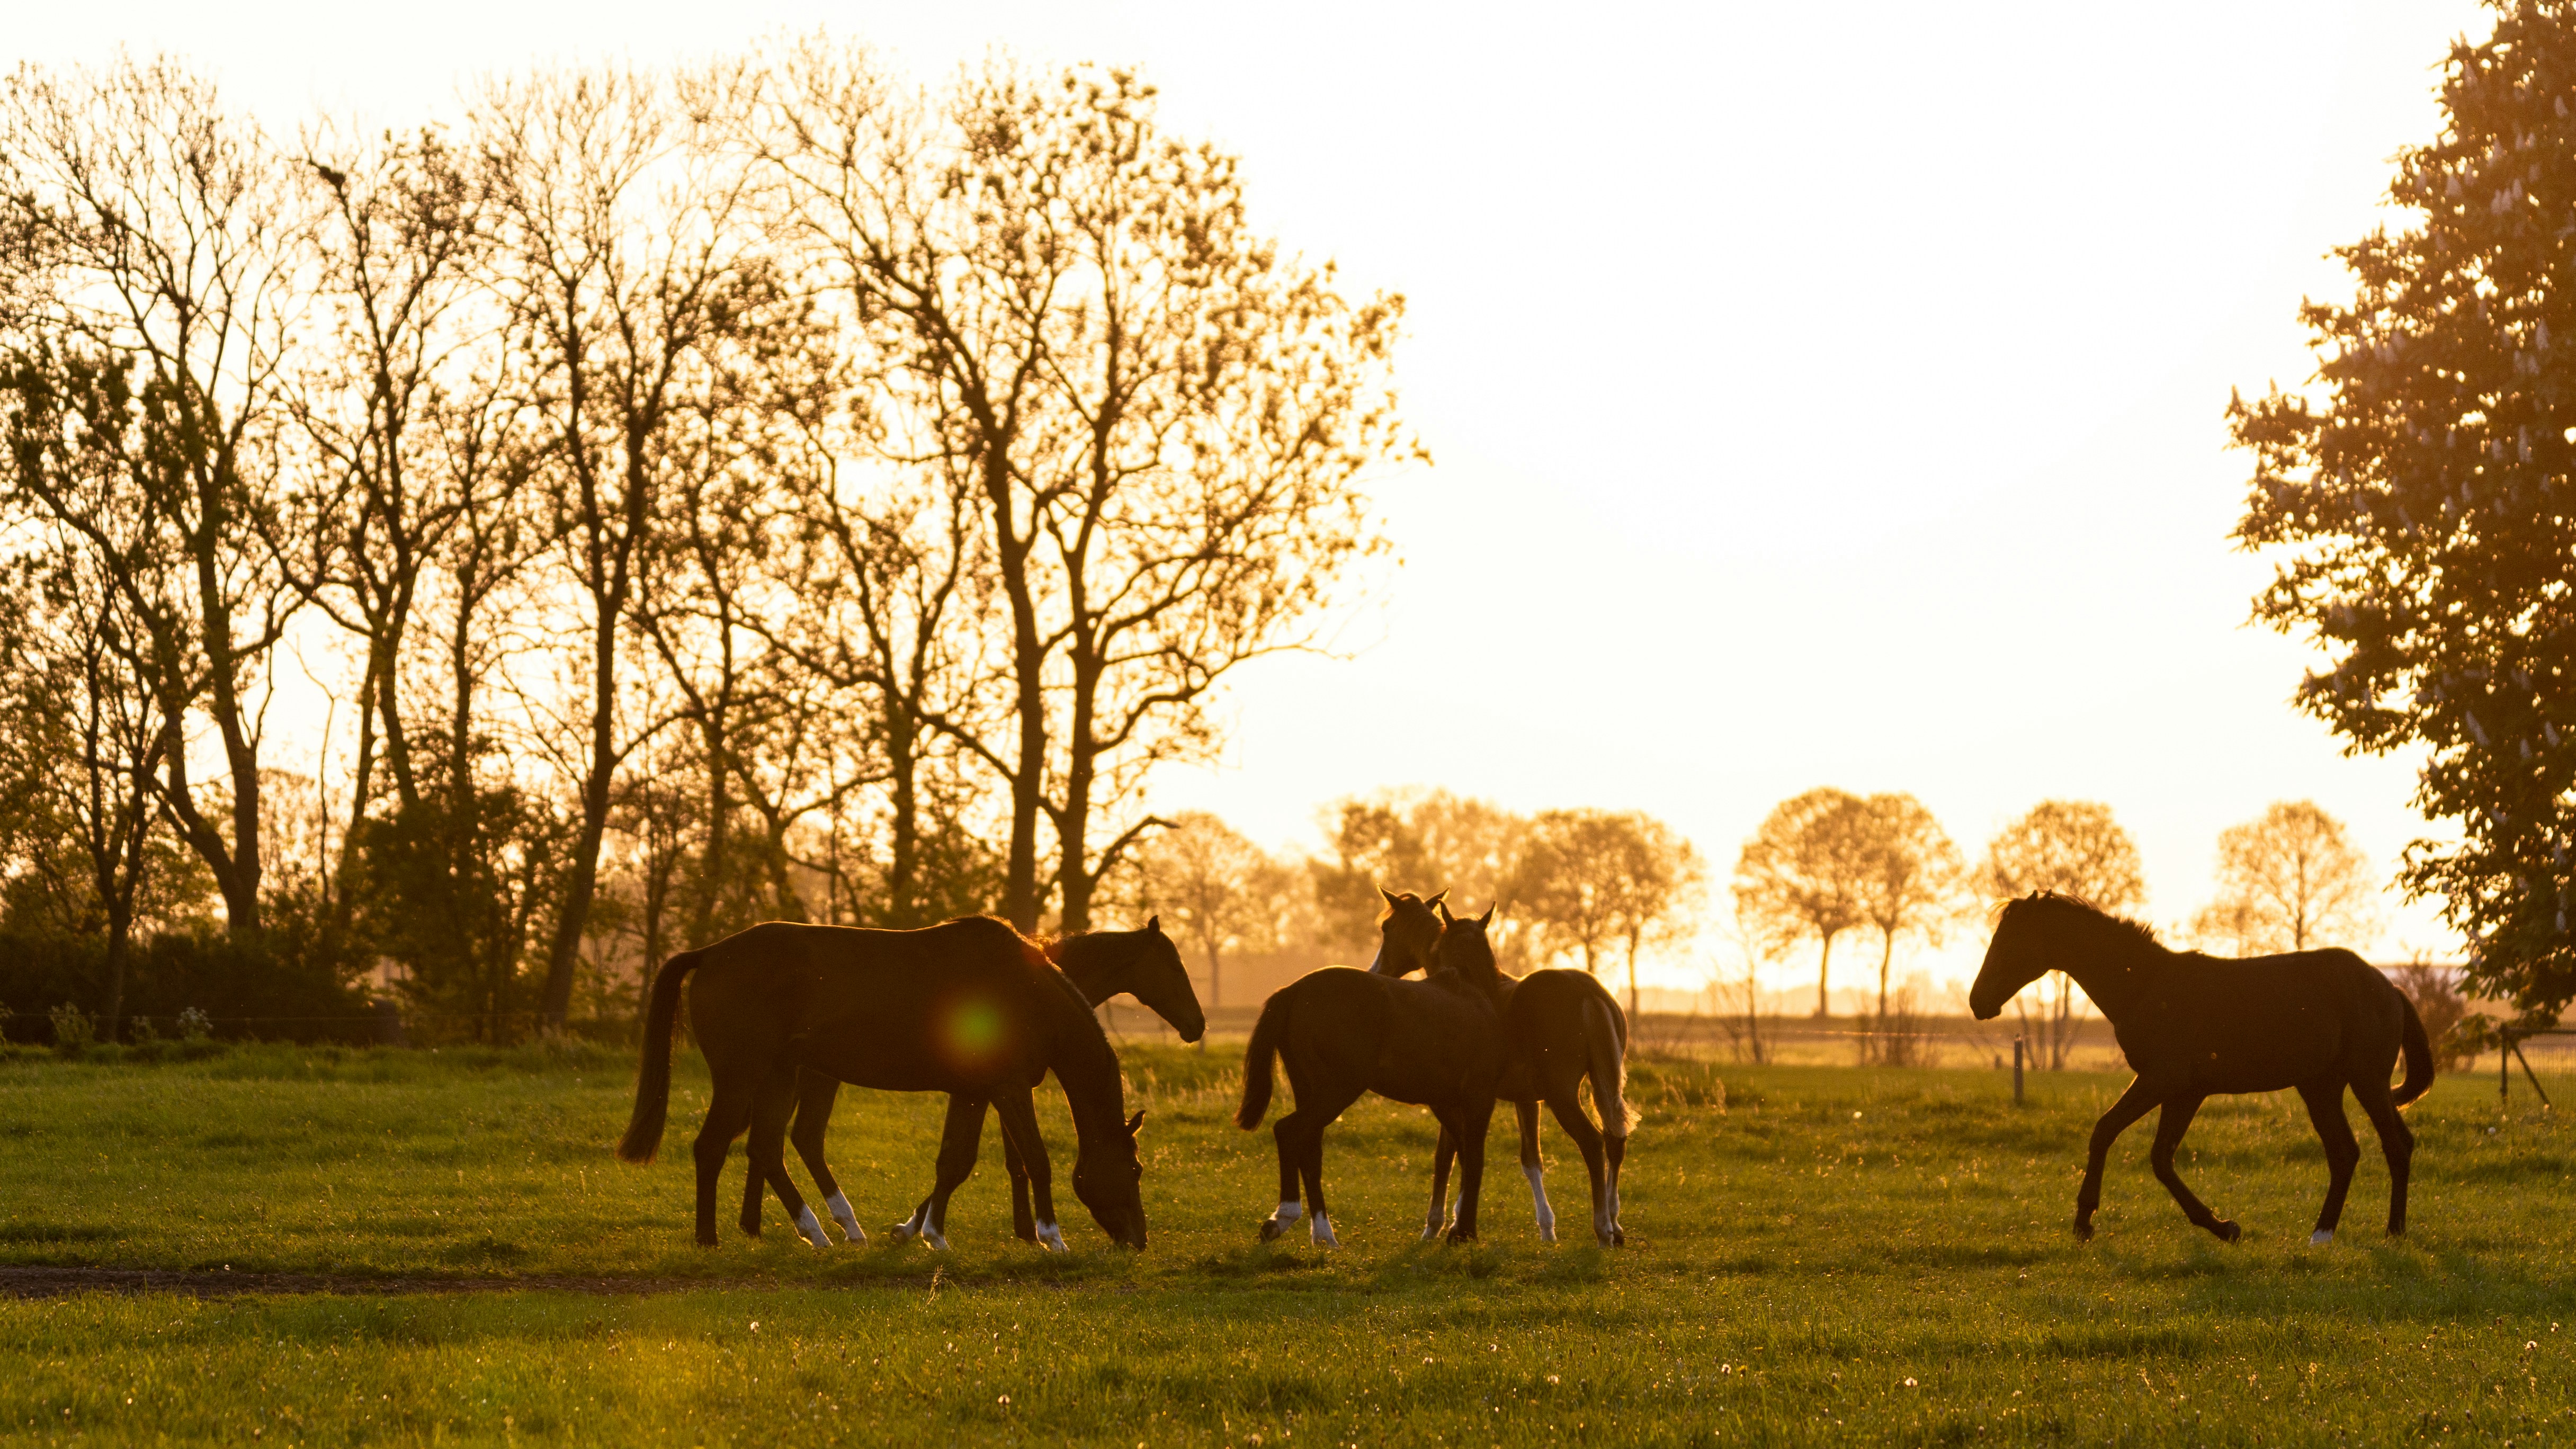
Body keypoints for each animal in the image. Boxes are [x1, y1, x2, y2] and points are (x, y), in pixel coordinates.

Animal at [617, 916, 1148, 1251]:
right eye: (1136, 1170)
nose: (1140, 1240)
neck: (1024, 990)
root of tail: (711, 953)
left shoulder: (974, 1093)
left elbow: (954, 1163)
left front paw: (931, 1235)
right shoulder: (1009, 1089)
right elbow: (1037, 1160)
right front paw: (1052, 1237)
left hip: (779, 1077)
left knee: (766, 1149)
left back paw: (820, 1232)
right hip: (740, 1078)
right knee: (712, 1147)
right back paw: (710, 1238)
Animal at [1235, 888, 1508, 1246]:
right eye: (1385, 928)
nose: (1378, 967)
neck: (1468, 989)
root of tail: (1293, 991)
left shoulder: (1445, 1102)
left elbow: (1456, 1156)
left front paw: (1454, 1228)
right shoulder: (1479, 1098)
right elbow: (1474, 1158)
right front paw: (1463, 1232)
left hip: (1310, 1090)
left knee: (1309, 1148)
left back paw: (1323, 1234)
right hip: (1338, 1090)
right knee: (1288, 1131)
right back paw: (1287, 1217)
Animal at [1376, 903, 1635, 1246]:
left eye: (1387, 928)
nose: (1377, 970)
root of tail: (1587, 991)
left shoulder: (1459, 1098)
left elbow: (1447, 1157)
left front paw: (1438, 1227)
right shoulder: (1526, 1100)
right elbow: (1530, 1160)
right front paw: (1546, 1229)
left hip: (1563, 1096)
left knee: (1593, 1144)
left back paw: (1603, 1229)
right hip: (1605, 1087)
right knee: (1615, 1141)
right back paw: (1616, 1225)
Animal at [1968, 891, 2434, 1244]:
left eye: (2011, 941)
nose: (1977, 1001)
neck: (2144, 985)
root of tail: (2390, 987)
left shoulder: (2164, 1081)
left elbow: (2109, 1133)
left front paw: (2084, 1222)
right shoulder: (2185, 1092)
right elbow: (2160, 1157)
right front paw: (2224, 1227)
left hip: (2366, 1080)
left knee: (2395, 1145)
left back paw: (2392, 1232)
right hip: (2321, 1088)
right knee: (2346, 1152)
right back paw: (2322, 1234)